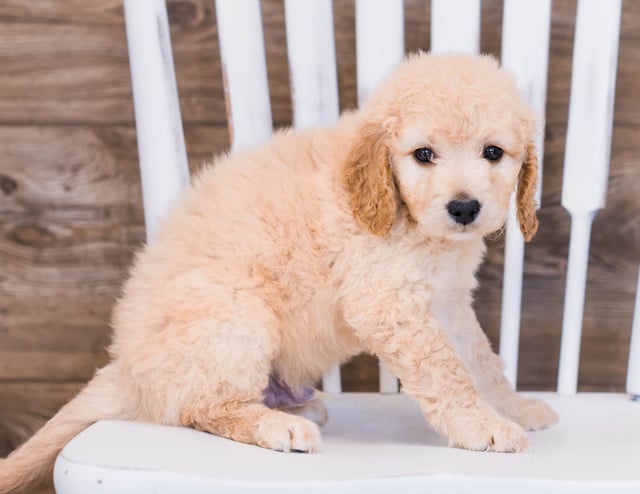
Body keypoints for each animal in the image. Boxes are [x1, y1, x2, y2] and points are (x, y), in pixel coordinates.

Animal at [0, 52, 556, 492]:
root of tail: (125, 368)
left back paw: (292, 408)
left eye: (493, 153)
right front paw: (482, 426)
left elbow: (481, 361)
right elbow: (447, 372)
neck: (405, 218)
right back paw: (276, 427)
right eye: (423, 155)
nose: (464, 208)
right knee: (200, 408)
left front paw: (512, 407)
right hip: (238, 317)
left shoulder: (446, 302)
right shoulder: (389, 302)